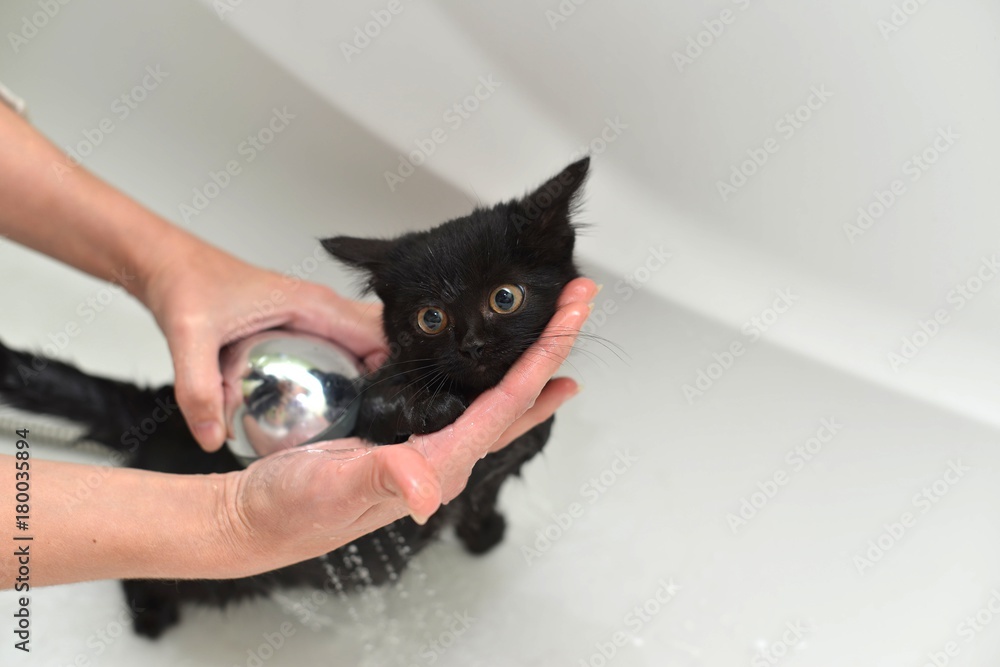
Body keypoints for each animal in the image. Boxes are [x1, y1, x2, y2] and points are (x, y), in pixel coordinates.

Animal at [0, 155, 588, 636]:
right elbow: (384, 406)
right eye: (431, 318)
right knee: (142, 569)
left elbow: (486, 494)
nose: (473, 346)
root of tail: (160, 409)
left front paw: (483, 534)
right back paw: (151, 618)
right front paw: (436, 408)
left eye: (505, 297)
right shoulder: (368, 396)